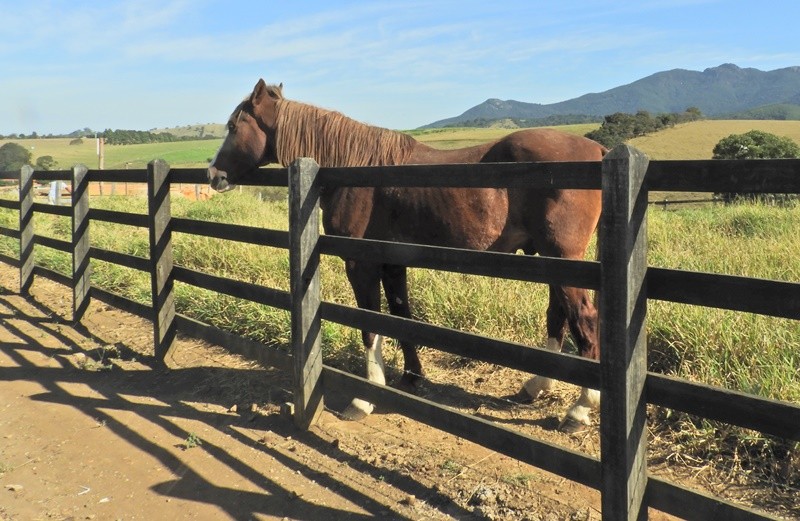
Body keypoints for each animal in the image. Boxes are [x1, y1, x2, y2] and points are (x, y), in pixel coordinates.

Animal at [209, 79, 604, 430]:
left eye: (233, 126)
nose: (212, 173)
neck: (356, 169)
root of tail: (598, 152)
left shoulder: (361, 264)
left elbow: (371, 326)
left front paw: (364, 399)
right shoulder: (392, 263)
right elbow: (401, 317)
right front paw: (412, 377)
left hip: (563, 259)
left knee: (583, 318)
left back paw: (580, 409)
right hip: (549, 260)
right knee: (558, 314)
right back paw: (536, 387)